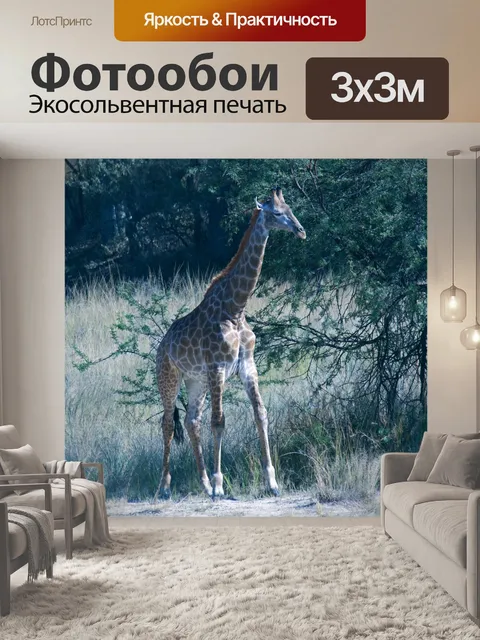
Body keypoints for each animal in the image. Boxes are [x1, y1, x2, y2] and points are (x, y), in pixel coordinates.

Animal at [156, 187, 306, 499]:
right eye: (276, 213)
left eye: (291, 209)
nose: (301, 231)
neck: (235, 308)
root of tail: (161, 347)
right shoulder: (218, 367)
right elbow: (219, 422)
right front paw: (219, 484)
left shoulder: (247, 365)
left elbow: (260, 414)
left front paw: (272, 482)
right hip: (168, 378)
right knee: (167, 423)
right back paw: (165, 486)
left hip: (196, 381)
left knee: (191, 421)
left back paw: (201, 483)